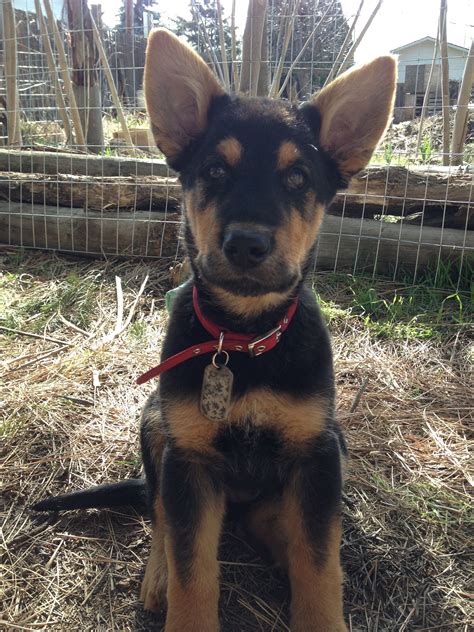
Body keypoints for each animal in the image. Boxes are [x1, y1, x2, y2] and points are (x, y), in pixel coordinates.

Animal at [34, 28, 396, 632]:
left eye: (297, 177)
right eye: (214, 172)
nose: (246, 245)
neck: (243, 342)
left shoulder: (316, 454)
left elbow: (319, 562)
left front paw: (319, 602)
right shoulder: (191, 459)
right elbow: (191, 566)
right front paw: (178, 592)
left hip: (332, 442)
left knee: (276, 524)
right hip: (157, 424)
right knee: (159, 510)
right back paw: (157, 575)